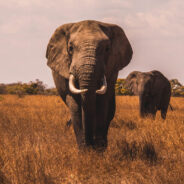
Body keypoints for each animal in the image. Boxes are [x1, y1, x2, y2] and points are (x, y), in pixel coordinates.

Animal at [45, 19, 132, 151]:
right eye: (70, 48)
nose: (90, 145)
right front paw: (84, 151)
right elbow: (75, 106)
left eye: (107, 49)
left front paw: (99, 150)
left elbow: (102, 103)